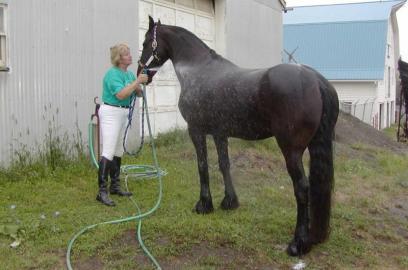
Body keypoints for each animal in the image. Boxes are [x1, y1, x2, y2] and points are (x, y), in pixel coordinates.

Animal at [139, 16, 340, 255]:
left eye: (145, 42)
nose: (140, 73)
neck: (198, 70)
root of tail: (315, 79)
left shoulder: (196, 130)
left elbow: (202, 166)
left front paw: (204, 205)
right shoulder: (219, 133)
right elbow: (224, 164)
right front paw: (229, 202)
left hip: (291, 151)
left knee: (302, 188)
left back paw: (298, 243)